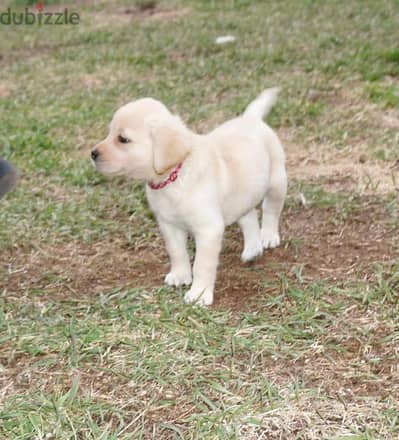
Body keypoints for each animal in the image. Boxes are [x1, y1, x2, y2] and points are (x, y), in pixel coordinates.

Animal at [93, 87, 288, 304]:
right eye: (110, 133)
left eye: (123, 139)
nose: (93, 154)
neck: (174, 176)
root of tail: (250, 118)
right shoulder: (168, 224)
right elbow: (177, 252)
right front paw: (180, 275)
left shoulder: (209, 229)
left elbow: (202, 265)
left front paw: (199, 294)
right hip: (244, 193)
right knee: (249, 216)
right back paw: (252, 249)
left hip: (276, 182)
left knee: (270, 210)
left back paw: (268, 237)